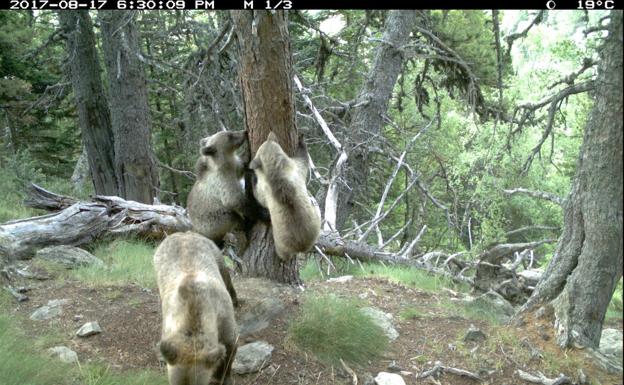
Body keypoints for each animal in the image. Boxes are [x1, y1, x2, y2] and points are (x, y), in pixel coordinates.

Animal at [153, 231, 236, 384]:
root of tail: (183, 233)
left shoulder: (223, 314)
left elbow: (229, 347)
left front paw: (222, 377)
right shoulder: (170, 323)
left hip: (213, 250)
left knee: (225, 273)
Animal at [247, 132, 320, 260]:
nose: (270, 133)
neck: (276, 172)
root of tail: (301, 246)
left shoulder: (265, 189)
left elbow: (258, 196)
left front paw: (252, 177)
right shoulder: (296, 171)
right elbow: (303, 159)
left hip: (282, 243)